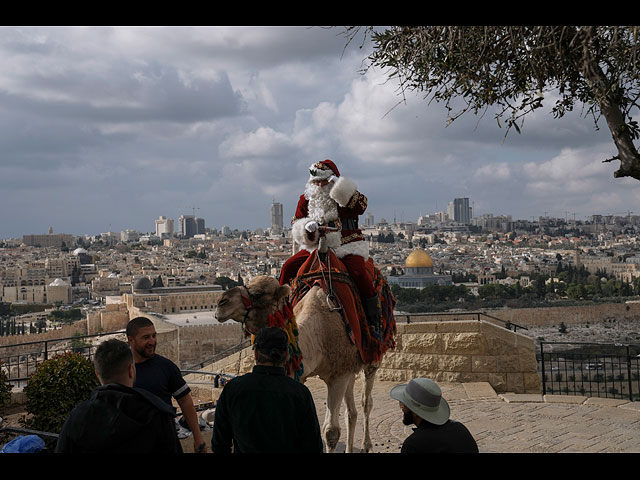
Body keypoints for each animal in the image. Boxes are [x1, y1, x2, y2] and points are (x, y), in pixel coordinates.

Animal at [218, 274, 382, 454]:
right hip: (350, 366)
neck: (319, 334)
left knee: (366, 402)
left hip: (371, 360)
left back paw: (366, 445)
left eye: (259, 293)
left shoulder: (338, 375)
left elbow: (331, 432)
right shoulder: (303, 373)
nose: (221, 303)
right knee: (351, 412)